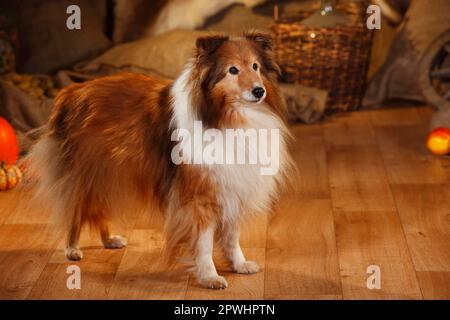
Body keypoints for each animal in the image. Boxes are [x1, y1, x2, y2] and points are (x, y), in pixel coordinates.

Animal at [28, 31, 296, 288]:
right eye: (232, 70)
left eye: (255, 66)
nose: (259, 91)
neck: (226, 117)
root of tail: (71, 91)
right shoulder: (200, 197)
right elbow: (204, 243)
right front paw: (209, 277)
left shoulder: (232, 187)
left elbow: (231, 237)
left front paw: (239, 265)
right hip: (85, 173)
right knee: (75, 208)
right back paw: (72, 248)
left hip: (106, 174)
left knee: (97, 207)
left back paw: (109, 239)